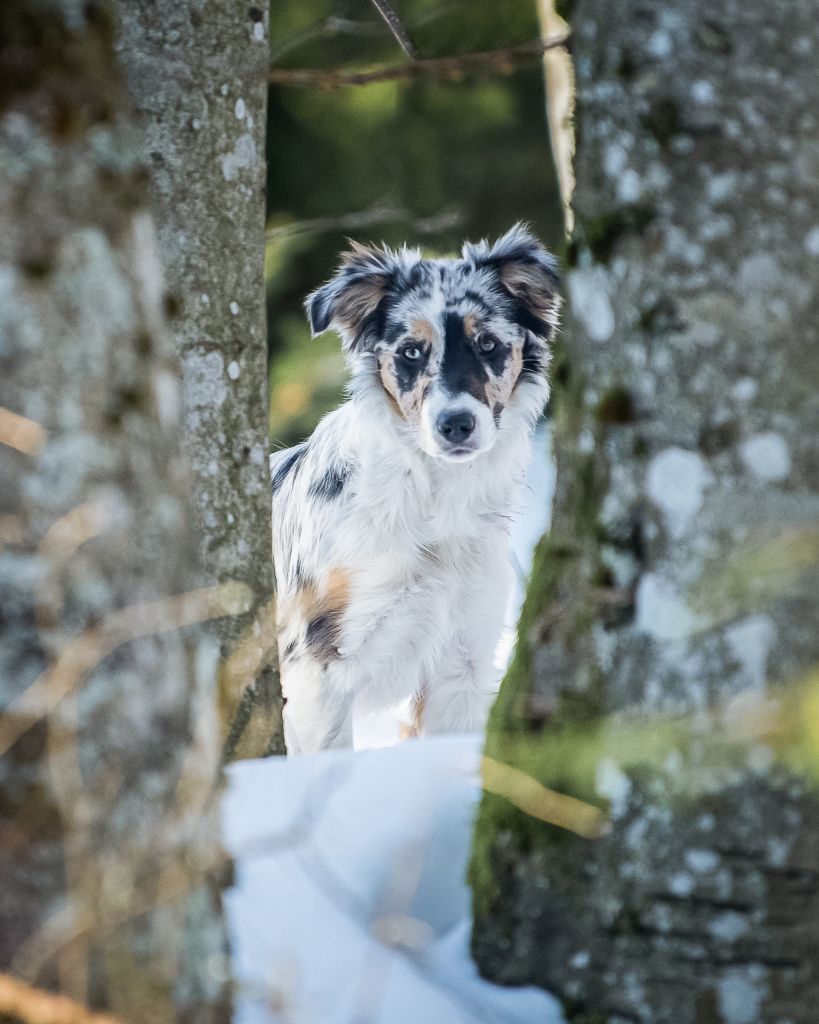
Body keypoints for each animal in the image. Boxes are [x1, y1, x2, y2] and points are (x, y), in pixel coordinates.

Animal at [272, 224, 561, 753]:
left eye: (488, 344)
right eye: (410, 351)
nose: (456, 424)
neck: (432, 500)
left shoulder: (462, 662)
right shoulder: (317, 672)